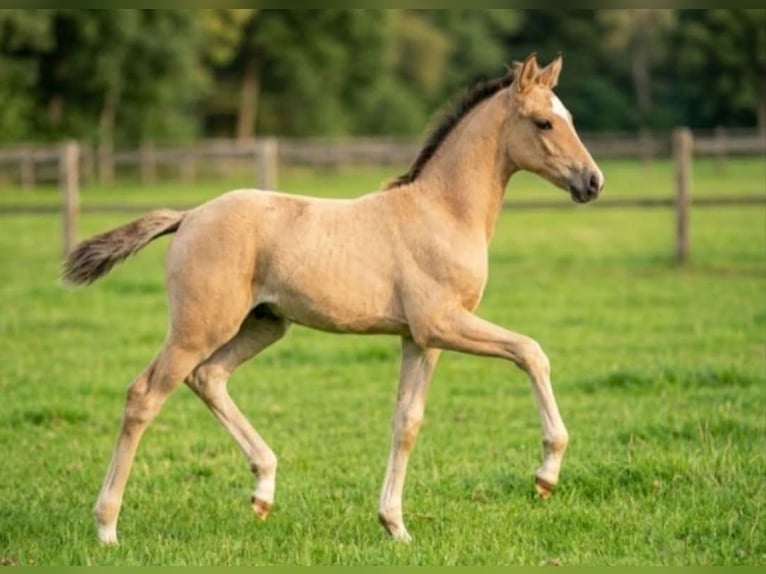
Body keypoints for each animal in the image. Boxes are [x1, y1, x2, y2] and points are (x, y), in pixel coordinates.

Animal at [63, 53, 604, 545]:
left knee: (208, 377)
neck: (443, 211)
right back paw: (107, 528)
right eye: (544, 122)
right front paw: (546, 475)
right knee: (145, 396)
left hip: (264, 324)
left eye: (571, 119)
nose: (593, 182)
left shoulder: (419, 338)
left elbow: (407, 421)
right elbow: (531, 351)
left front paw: (395, 525)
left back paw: (264, 490)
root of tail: (190, 215)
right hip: (198, 328)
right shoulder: (441, 323)